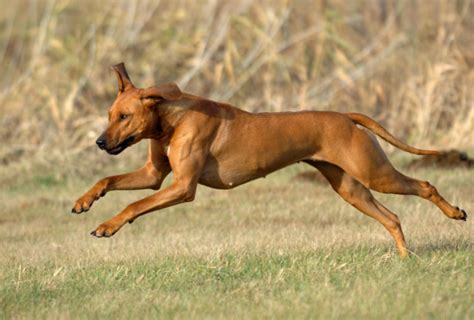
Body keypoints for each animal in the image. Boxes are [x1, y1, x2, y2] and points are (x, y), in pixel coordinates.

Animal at [73, 62, 466, 258]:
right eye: (110, 115)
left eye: (124, 117)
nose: (99, 142)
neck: (172, 119)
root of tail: (344, 115)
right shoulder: (154, 174)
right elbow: (108, 180)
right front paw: (85, 201)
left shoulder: (182, 187)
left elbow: (136, 204)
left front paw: (108, 226)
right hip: (351, 188)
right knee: (391, 217)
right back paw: (403, 257)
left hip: (373, 173)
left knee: (424, 185)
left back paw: (455, 213)